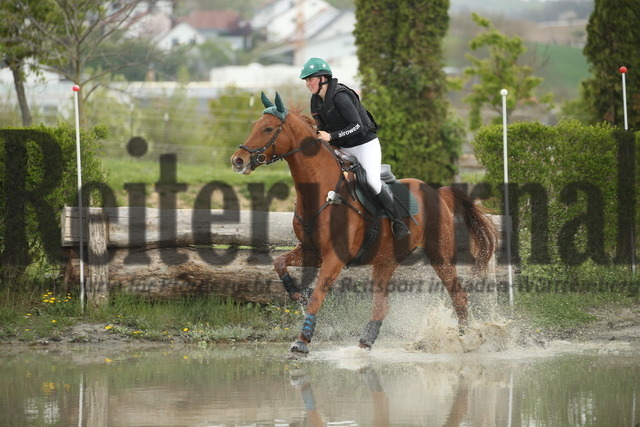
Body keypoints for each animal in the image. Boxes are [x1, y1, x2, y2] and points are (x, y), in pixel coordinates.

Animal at [231, 94, 500, 358]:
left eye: (268, 129)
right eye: (254, 126)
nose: (237, 160)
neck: (322, 194)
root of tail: (436, 192)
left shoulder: (334, 257)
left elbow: (318, 295)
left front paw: (302, 341)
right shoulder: (312, 252)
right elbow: (279, 263)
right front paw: (297, 293)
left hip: (439, 255)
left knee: (458, 294)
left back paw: (466, 338)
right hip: (385, 260)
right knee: (382, 306)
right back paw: (364, 343)